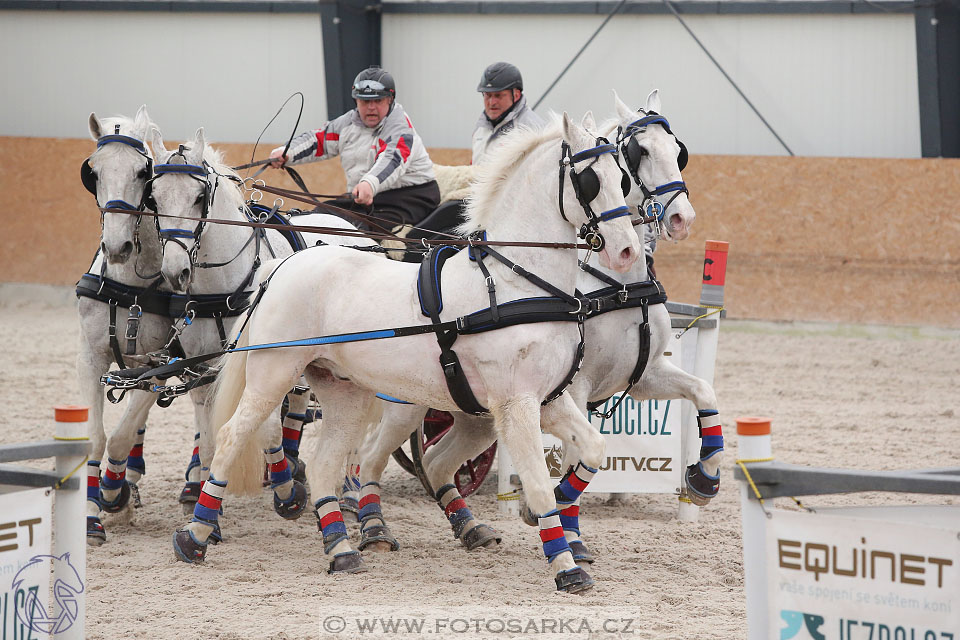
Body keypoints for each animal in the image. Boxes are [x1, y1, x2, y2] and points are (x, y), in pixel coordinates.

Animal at [176, 111, 640, 596]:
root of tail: (281, 265)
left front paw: (555, 515)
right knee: (232, 436)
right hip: (274, 374)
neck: (516, 284)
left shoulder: (549, 400)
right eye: (589, 180)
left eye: (622, 177)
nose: (627, 250)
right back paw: (195, 536)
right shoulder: (517, 404)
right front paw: (566, 564)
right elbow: (536, 480)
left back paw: (341, 551)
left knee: (327, 464)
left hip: (345, 392)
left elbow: (593, 450)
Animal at [352, 91, 720, 564]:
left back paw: (470, 526)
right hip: (409, 403)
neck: (614, 285)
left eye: (679, 152)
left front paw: (704, 477)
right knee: (371, 455)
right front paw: (564, 529)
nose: (681, 219)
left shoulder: (643, 375)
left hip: (473, 414)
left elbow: (703, 393)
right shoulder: (575, 388)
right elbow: (575, 456)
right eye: (639, 153)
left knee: (435, 462)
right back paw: (372, 525)